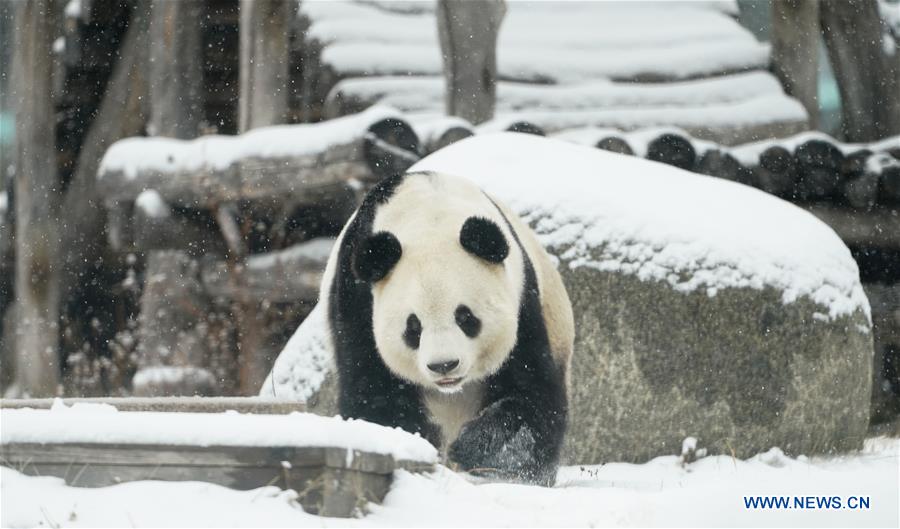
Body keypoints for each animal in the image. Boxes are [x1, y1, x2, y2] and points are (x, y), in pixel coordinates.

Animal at [324, 169, 572, 482]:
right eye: (413, 327)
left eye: (465, 318)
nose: (444, 365)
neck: (430, 214)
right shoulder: (357, 300)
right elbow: (374, 389)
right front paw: (411, 442)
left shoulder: (524, 301)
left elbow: (530, 391)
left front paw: (480, 451)